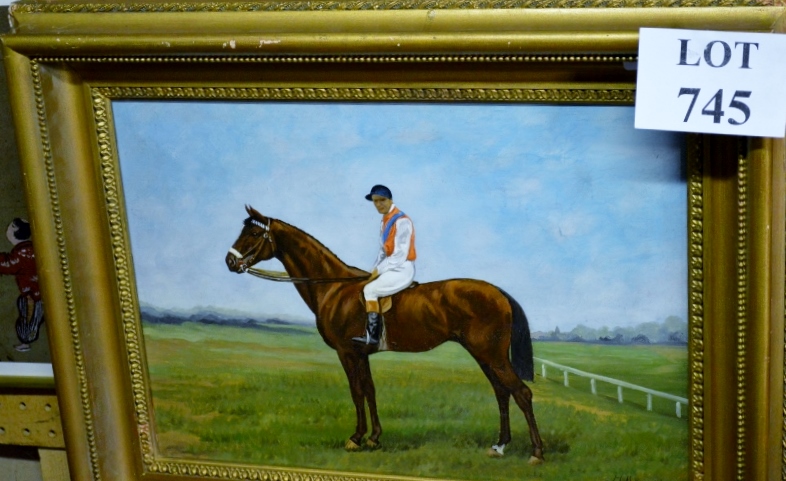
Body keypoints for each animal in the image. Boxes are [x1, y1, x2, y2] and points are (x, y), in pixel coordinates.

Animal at [224, 204, 544, 464]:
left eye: (254, 234)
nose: (230, 261)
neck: (334, 287)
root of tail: (499, 293)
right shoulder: (361, 353)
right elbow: (370, 390)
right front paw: (374, 438)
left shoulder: (347, 352)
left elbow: (356, 392)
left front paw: (356, 438)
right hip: (484, 355)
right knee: (502, 393)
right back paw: (499, 446)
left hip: (491, 354)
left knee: (522, 393)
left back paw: (536, 453)